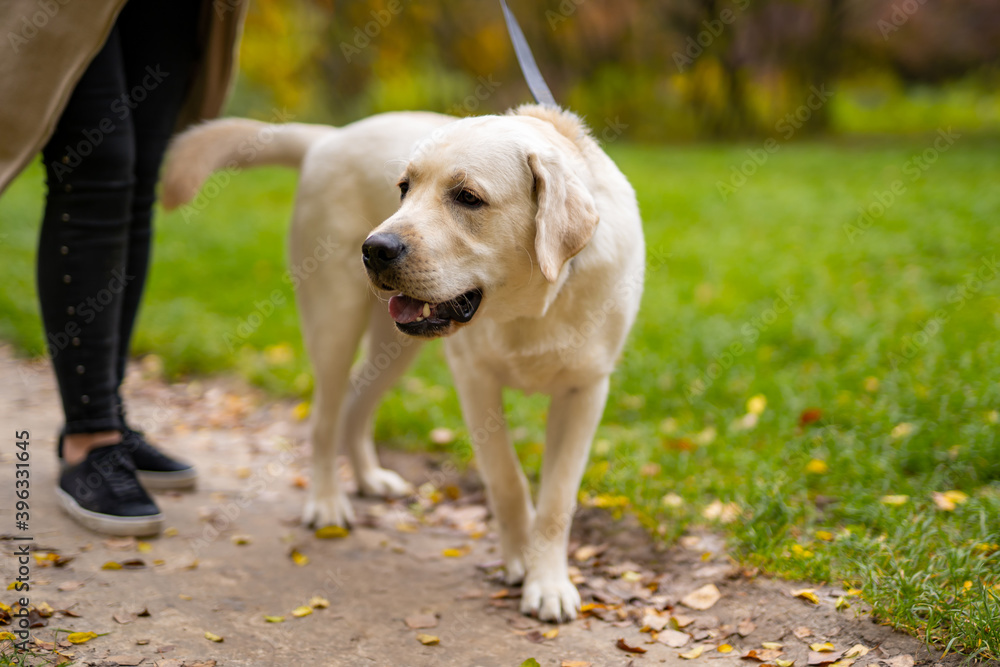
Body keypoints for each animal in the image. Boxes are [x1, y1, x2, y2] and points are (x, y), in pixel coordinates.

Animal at [160, 104, 644, 620]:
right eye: (404, 188)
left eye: (468, 198)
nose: (375, 248)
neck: (530, 307)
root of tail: (328, 138)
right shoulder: (475, 379)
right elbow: (508, 481)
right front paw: (519, 562)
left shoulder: (585, 390)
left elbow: (556, 500)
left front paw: (548, 583)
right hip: (334, 320)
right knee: (324, 418)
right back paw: (327, 502)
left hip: (395, 346)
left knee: (356, 405)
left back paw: (369, 477)